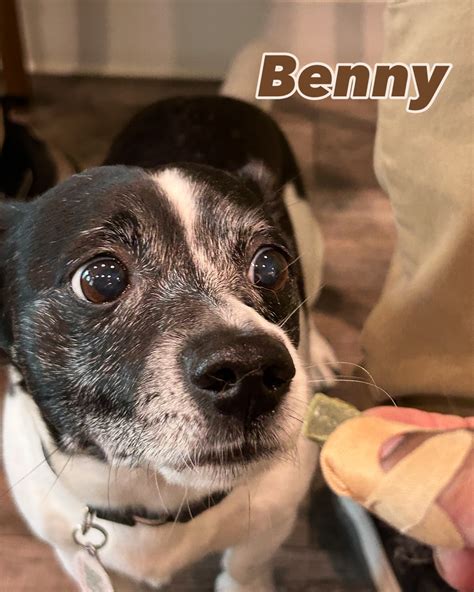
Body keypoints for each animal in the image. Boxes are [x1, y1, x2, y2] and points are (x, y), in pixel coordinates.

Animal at [1, 93, 337, 591]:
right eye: (101, 279)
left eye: (271, 266)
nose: (250, 370)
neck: (155, 499)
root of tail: (213, 97)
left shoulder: (272, 520)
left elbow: (245, 566)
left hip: (311, 237)